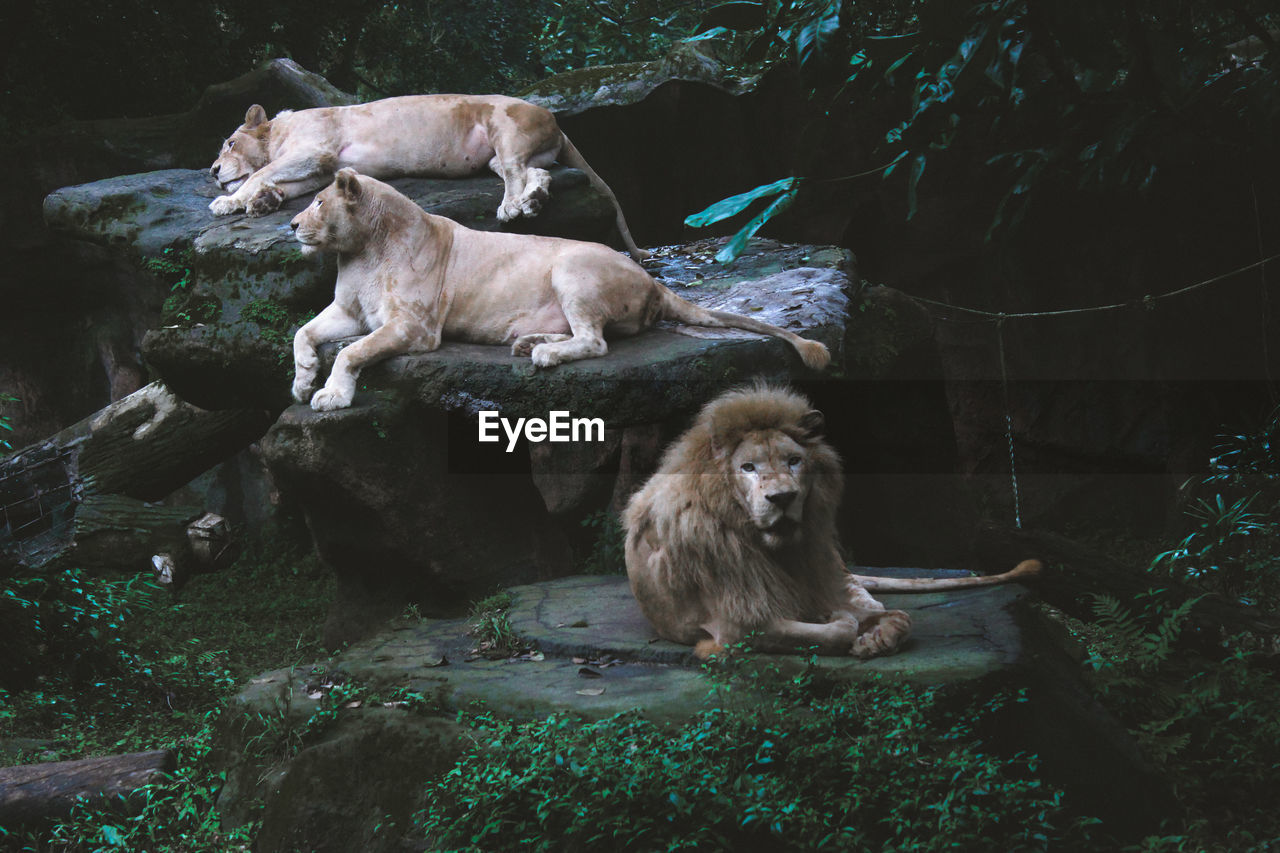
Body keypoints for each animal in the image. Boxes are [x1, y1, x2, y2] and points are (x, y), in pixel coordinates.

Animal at [211, 94, 655, 257]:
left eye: (229, 143)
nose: (213, 170)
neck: (278, 132)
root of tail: (557, 122)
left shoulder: (314, 149)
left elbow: (261, 173)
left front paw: (228, 200)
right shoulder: (323, 165)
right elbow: (281, 184)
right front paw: (262, 202)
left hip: (505, 127)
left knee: (515, 171)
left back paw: (512, 208)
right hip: (500, 155)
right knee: (539, 173)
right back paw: (533, 202)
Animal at [288, 169, 829, 409]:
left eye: (318, 202)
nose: (292, 224)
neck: (362, 252)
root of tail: (652, 279)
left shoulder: (415, 327)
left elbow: (352, 352)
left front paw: (330, 394)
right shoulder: (350, 310)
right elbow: (303, 332)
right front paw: (302, 378)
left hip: (571, 267)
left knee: (596, 341)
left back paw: (543, 354)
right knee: (587, 334)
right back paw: (529, 342)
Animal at [622, 384, 1039, 655]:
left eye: (794, 461)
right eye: (748, 467)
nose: (782, 498)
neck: (772, 547)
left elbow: (897, 616)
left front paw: (875, 635)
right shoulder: (738, 624)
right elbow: (831, 632)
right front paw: (844, 627)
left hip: (833, 569)